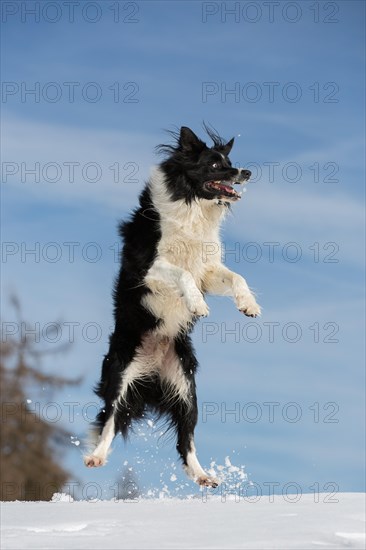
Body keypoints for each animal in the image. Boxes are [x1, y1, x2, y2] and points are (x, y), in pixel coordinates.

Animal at [84, 127, 260, 490]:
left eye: (230, 162)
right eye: (215, 165)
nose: (247, 172)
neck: (192, 204)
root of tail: (151, 373)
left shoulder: (208, 270)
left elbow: (236, 277)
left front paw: (249, 305)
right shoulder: (148, 268)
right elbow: (182, 275)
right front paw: (198, 305)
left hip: (186, 390)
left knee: (186, 439)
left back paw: (203, 475)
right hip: (121, 375)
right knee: (110, 420)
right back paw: (96, 456)